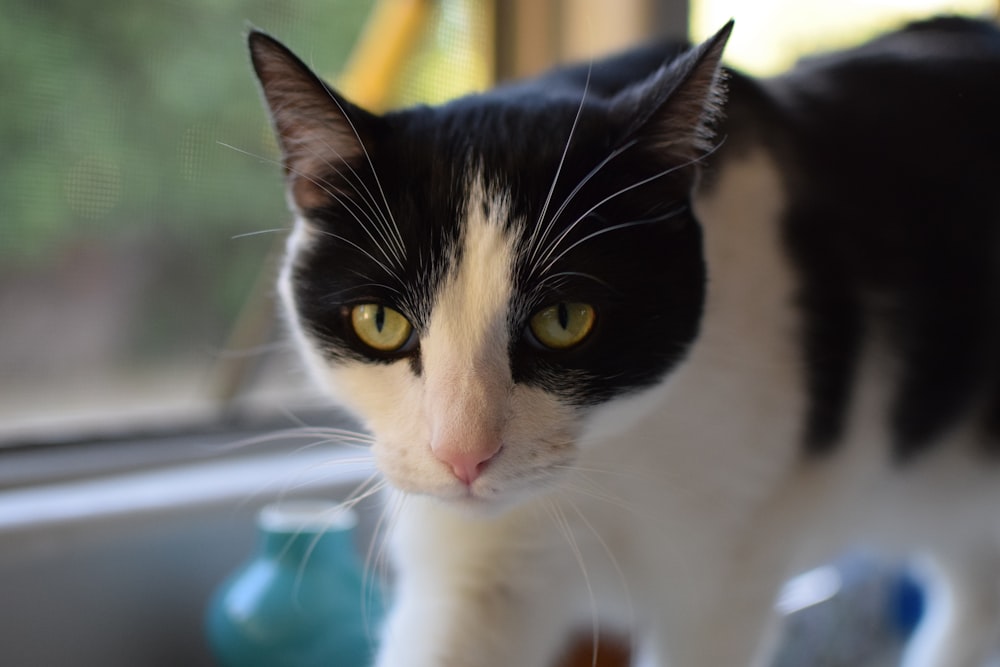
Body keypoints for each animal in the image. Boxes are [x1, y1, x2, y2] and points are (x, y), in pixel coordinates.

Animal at [248, 15, 1000, 667]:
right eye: (380, 322)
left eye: (564, 319)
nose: (463, 456)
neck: (607, 464)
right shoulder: (470, 573)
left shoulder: (722, 582)